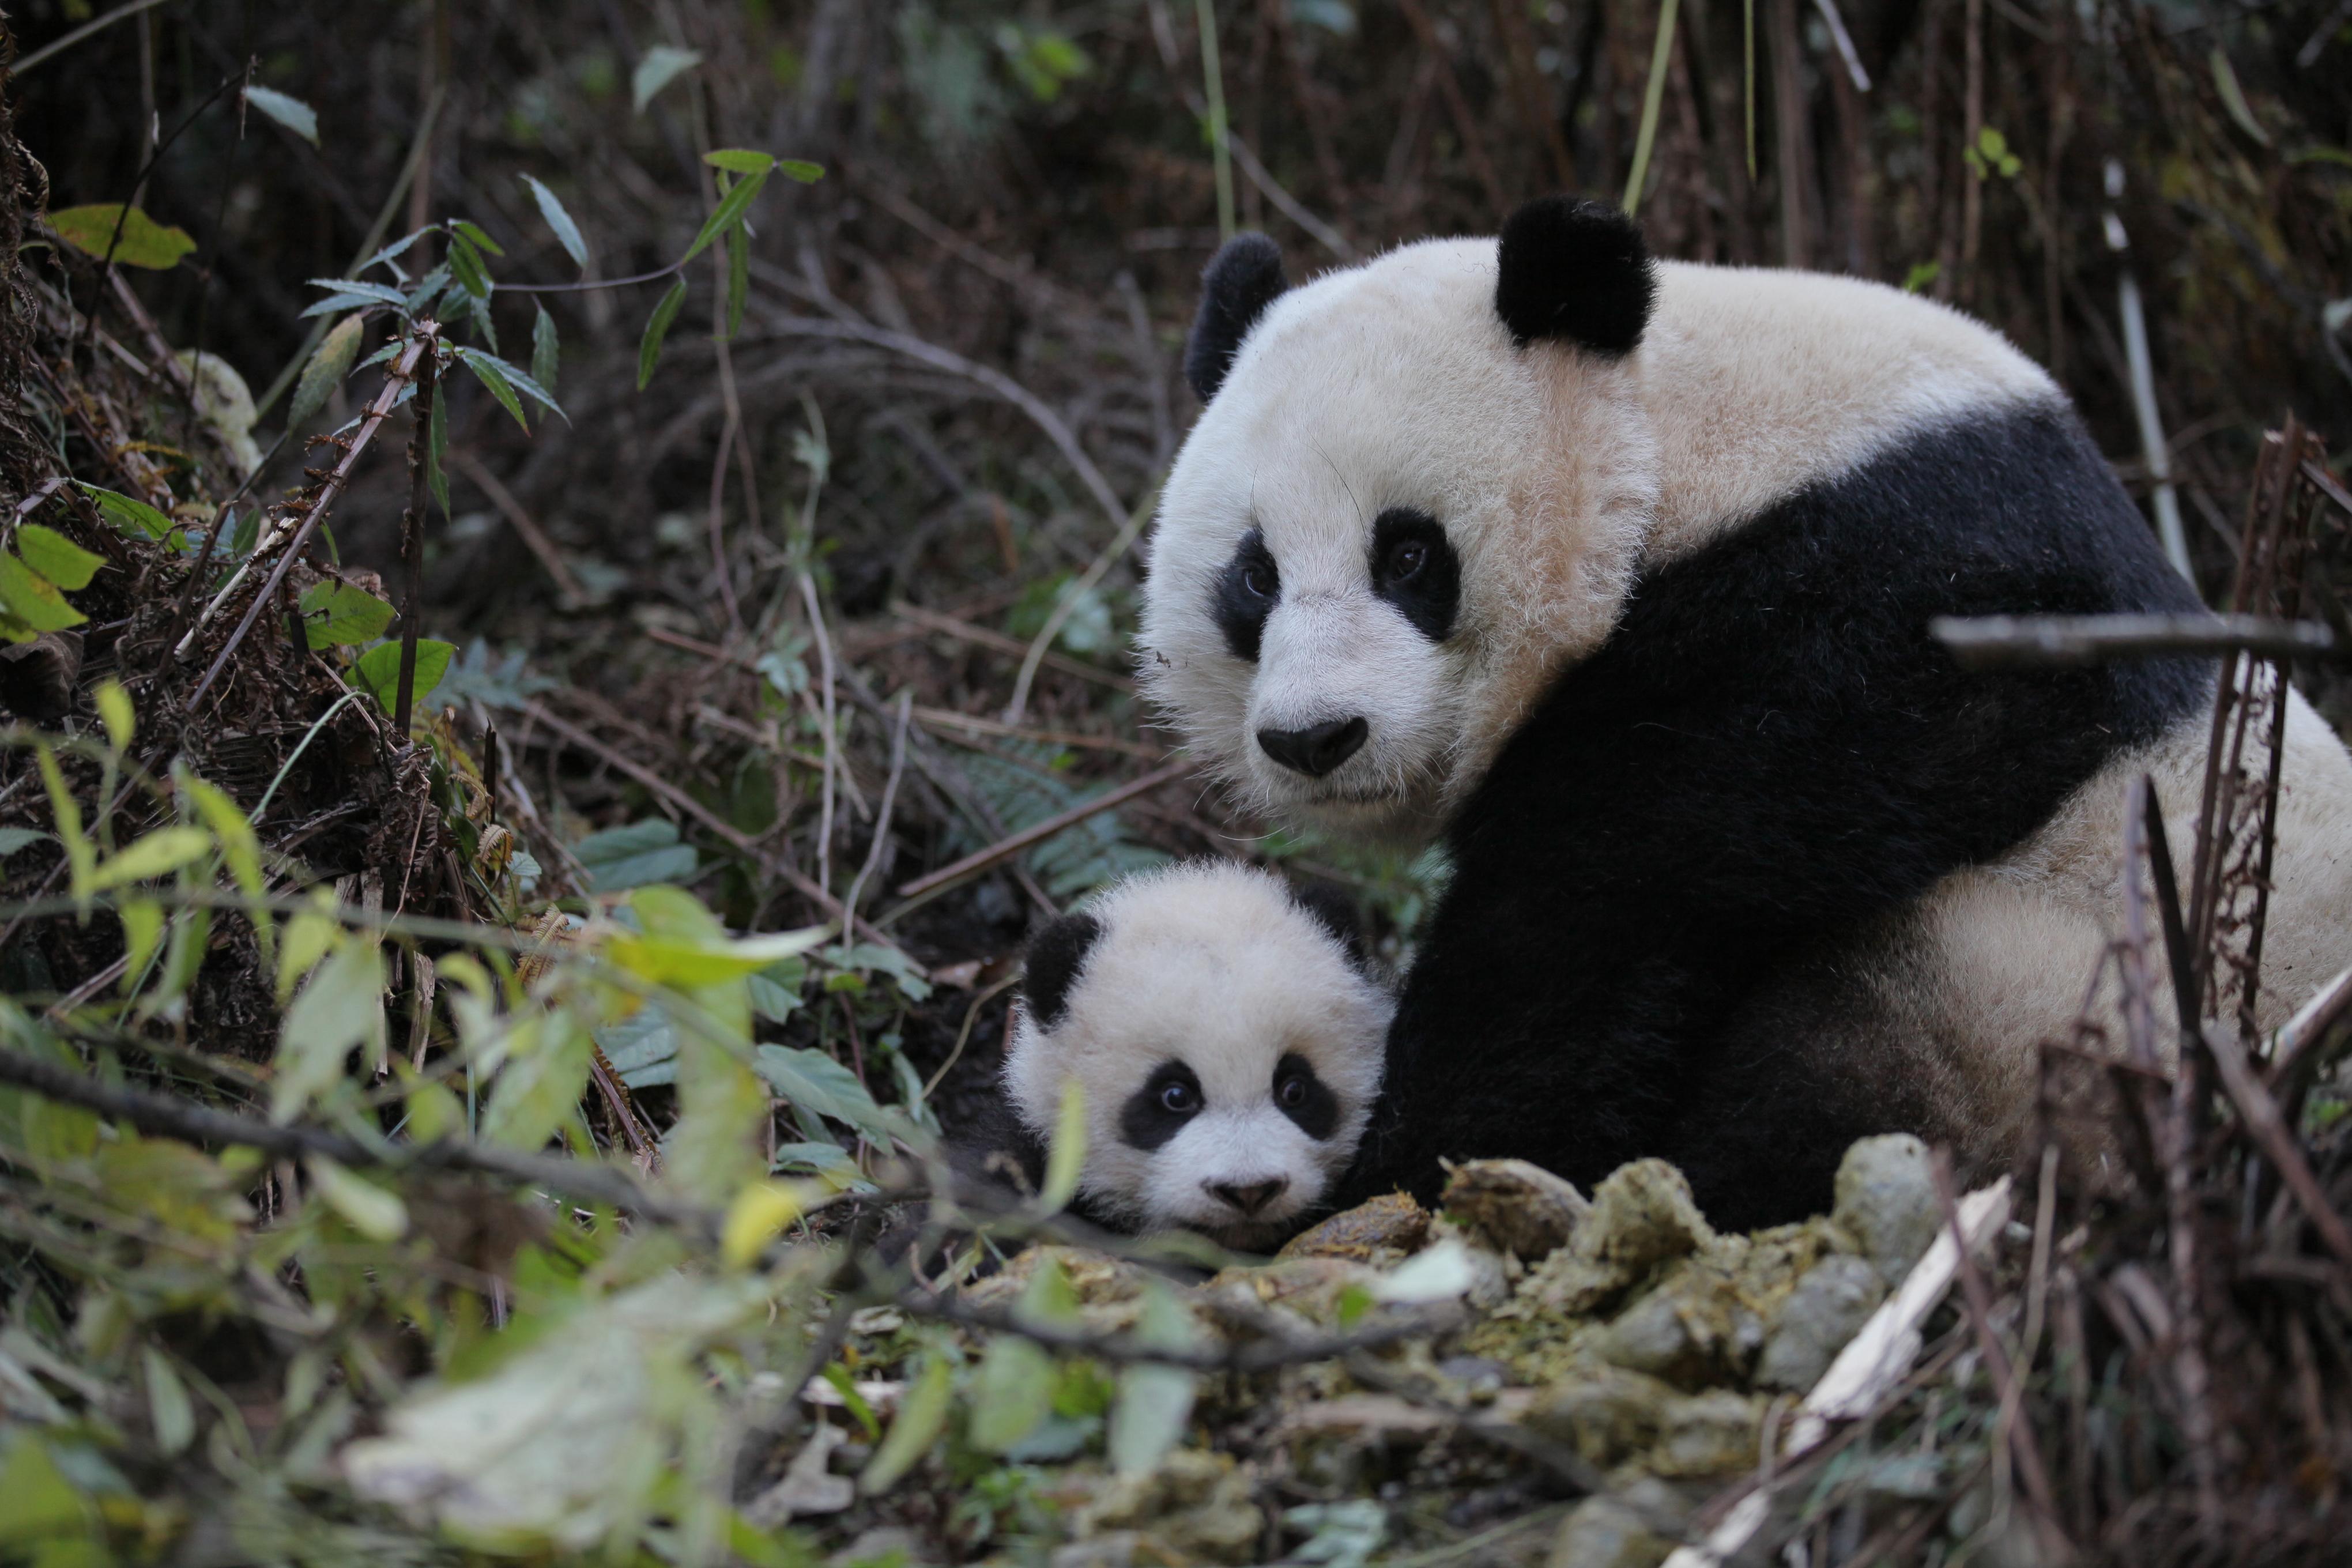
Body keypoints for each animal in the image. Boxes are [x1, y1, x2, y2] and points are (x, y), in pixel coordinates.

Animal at [1133, 196, 2352, 1222]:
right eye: (1254, 577)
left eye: (1408, 553)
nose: (1315, 737)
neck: (1682, 437)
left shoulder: (1908, 582)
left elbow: (1639, 868)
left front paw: (1414, 1151)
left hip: (2030, 998)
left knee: (1830, 1079)